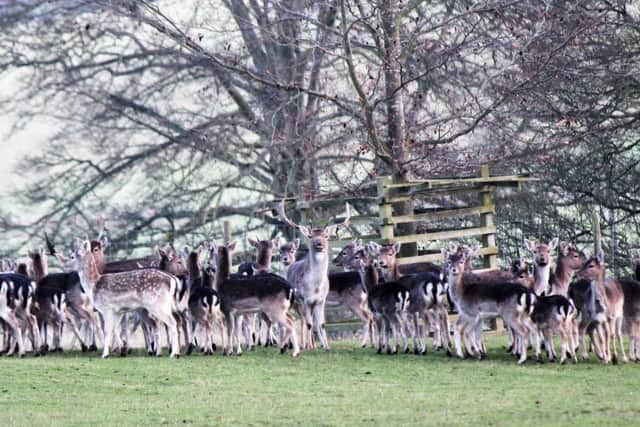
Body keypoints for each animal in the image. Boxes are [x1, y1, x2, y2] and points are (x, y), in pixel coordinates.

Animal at [277, 201, 350, 350]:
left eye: (326, 236)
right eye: (310, 236)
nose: (319, 243)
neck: (315, 287)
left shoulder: (321, 300)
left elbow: (321, 324)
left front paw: (326, 346)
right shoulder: (305, 299)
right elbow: (310, 323)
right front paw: (310, 347)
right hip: (294, 302)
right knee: (300, 320)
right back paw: (302, 345)